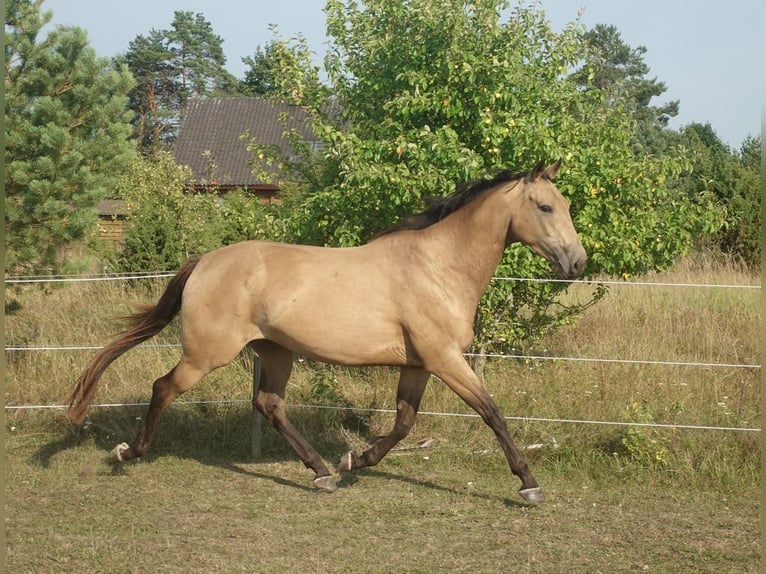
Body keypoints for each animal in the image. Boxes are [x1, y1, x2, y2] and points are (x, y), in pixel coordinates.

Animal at [70, 159, 588, 504]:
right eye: (546, 207)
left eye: (564, 205)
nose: (578, 263)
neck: (438, 267)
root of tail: (205, 261)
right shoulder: (445, 359)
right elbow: (492, 413)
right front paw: (528, 484)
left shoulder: (419, 364)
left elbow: (403, 422)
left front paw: (353, 461)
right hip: (206, 355)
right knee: (164, 388)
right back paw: (127, 452)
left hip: (275, 351)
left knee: (269, 404)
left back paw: (322, 472)